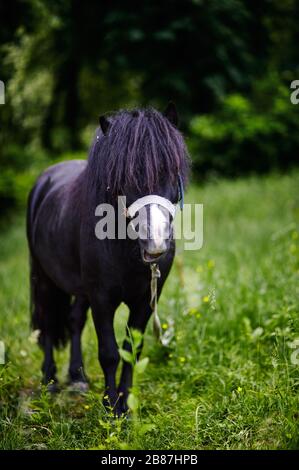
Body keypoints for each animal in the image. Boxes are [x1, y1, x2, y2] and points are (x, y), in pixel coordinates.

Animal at [26, 103, 190, 414]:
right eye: (124, 180)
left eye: (171, 170)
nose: (156, 245)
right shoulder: (102, 299)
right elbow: (109, 353)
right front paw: (110, 406)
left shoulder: (145, 300)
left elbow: (131, 350)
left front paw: (126, 403)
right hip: (44, 277)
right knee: (48, 323)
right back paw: (49, 381)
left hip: (80, 288)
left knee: (74, 320)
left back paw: (77, 377)